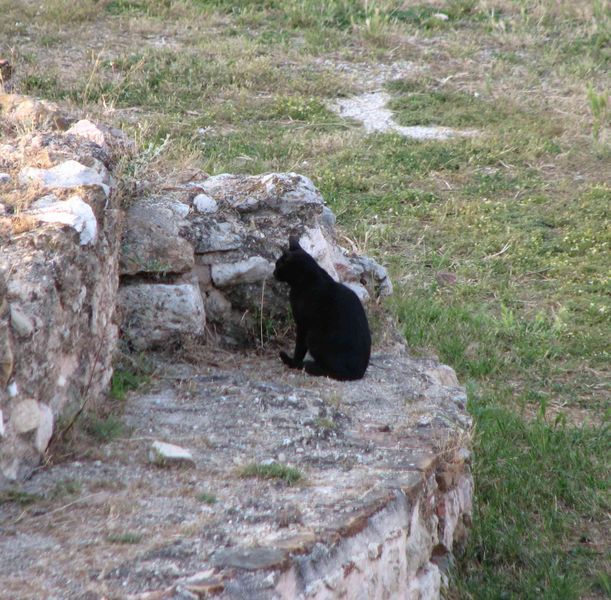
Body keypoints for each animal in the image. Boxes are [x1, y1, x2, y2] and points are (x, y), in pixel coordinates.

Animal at [274, 234, 370, 380]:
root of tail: (357, 373)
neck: (311, 279)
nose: (273, 272)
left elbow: (299, 347)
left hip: (313, 336)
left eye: (278, 265)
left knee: (328, 369)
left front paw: (295, 361)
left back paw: (307, 366)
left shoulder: (302, 324)